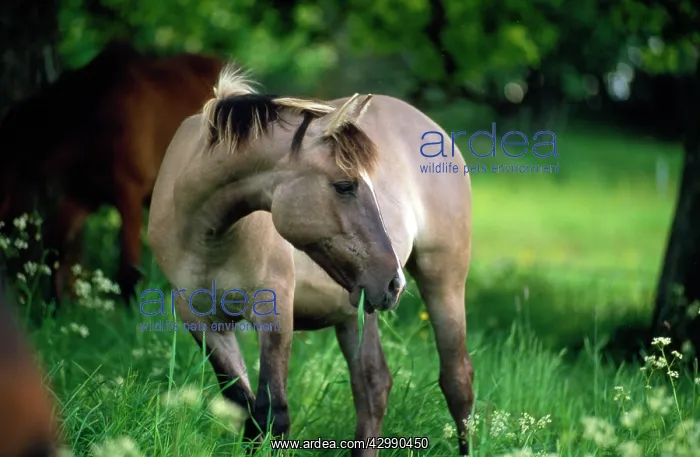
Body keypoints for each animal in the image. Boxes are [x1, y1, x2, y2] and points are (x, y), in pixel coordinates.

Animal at [147, 65, 474, 456]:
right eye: (345, 185)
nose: (394, 282)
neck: (207, 235)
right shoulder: (202, 322)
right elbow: (245, 410)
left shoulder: (273, 312)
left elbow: (273, 414)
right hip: (356, 307)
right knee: (373, 385)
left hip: (441, 281)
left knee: (457, 382)